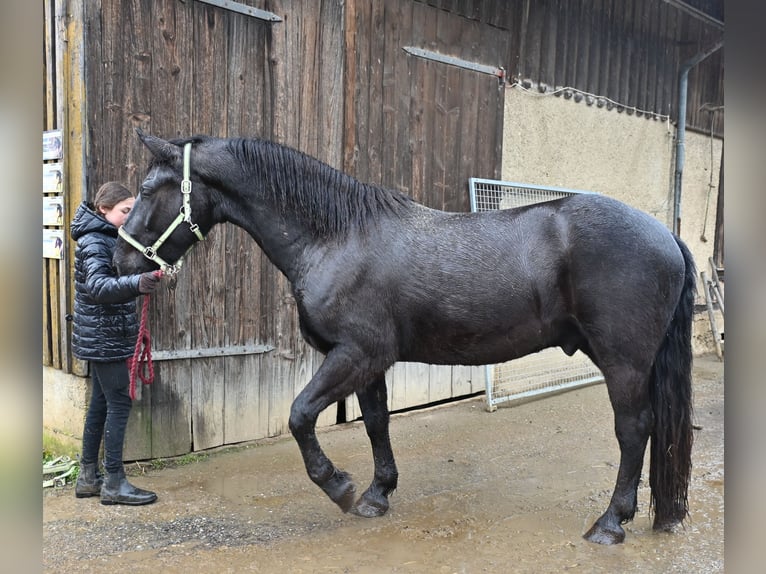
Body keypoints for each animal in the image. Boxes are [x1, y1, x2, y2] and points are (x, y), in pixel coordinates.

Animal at [114, 130, 695, 545]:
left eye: (145, 190)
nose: (120, 261)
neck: (337, 237)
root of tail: (665, 234)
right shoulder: (368, 362)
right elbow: (376, 423)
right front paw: (377, 494)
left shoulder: (355, 353)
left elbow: (300, 415)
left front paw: (340, 487)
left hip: (623, 362)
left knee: (633, 430)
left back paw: (610, 523)